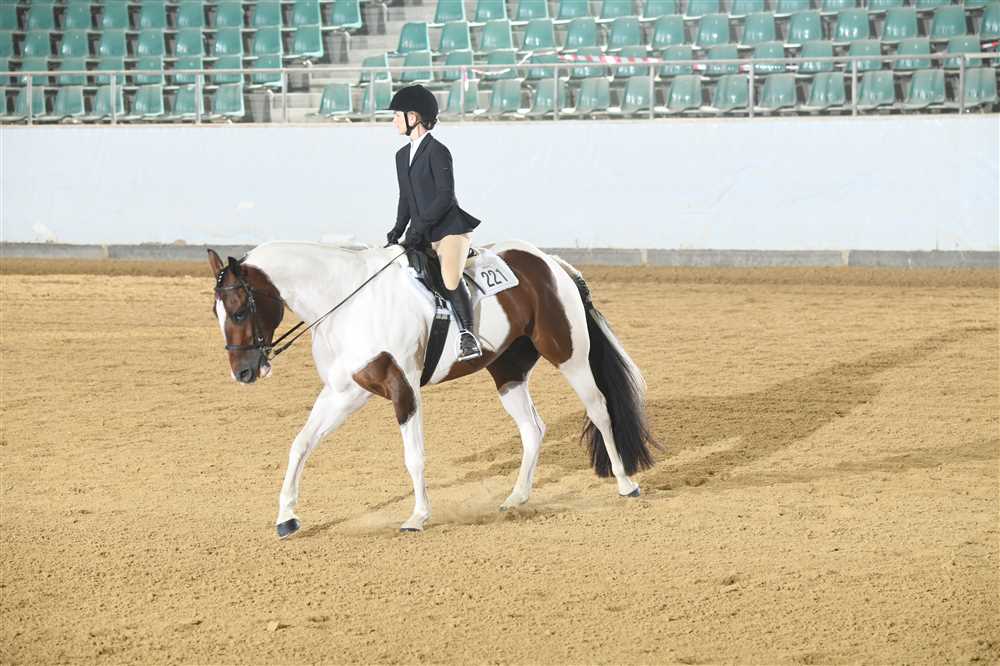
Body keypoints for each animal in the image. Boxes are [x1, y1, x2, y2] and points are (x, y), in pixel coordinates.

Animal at [207, 240, 659, 539]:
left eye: (240, 310)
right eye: (217, 312)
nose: (243, 372)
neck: (347, 304)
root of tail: (550, 262)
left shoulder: (403, 387)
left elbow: (414, 456)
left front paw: (417, 517)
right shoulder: (344, 391)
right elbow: (301, 444)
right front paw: (286, 517)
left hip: (569, 355)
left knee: (599, 408)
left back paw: (626, 484)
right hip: (507, 370)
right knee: (533, 429)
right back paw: (516, 498)